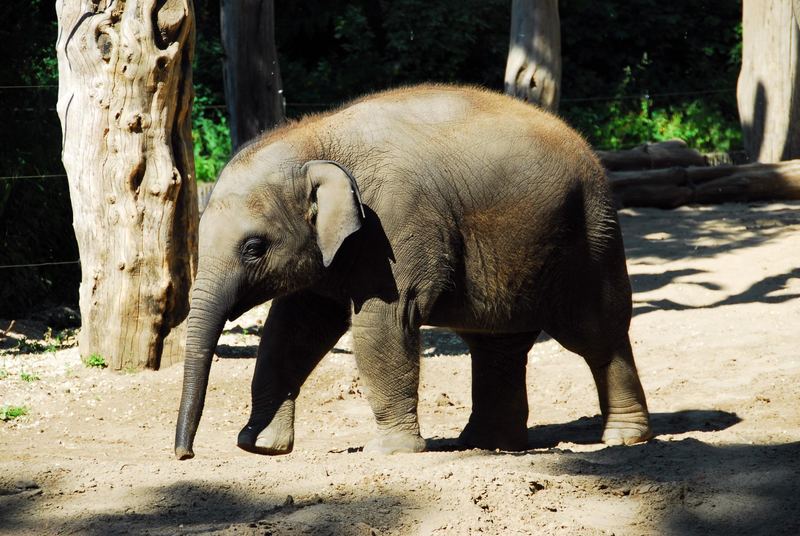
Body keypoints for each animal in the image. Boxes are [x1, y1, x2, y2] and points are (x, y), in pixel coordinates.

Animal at [173, 84, 648, 460]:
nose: (184, 454)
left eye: (253, 248)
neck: (316, 139)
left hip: (592, 233)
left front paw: (389, 452)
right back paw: (486, 445)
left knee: (597, 332)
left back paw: (623, 439)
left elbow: (382, 321)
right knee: (497, 344)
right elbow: (292, 329)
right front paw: (260, 447)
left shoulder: (394, 224)